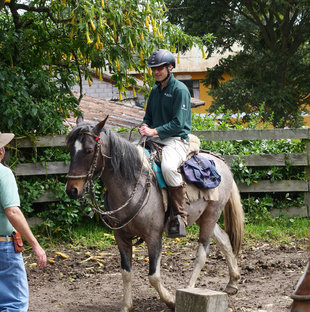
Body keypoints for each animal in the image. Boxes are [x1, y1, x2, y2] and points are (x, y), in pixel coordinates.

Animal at [65, 115, 245, 312]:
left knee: (202, 254)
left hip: (211, 214)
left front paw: (171, 300)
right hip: (203, 217)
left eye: (89, 150)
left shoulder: (153, 237)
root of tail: (221, 162)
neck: (132, 185)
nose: (72, 190)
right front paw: (126, 306)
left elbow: (153, 276)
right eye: (70, 150)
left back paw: (189, 289)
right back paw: (233, 282)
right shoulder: (121, 237)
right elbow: (126, 273)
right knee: (224, 240)